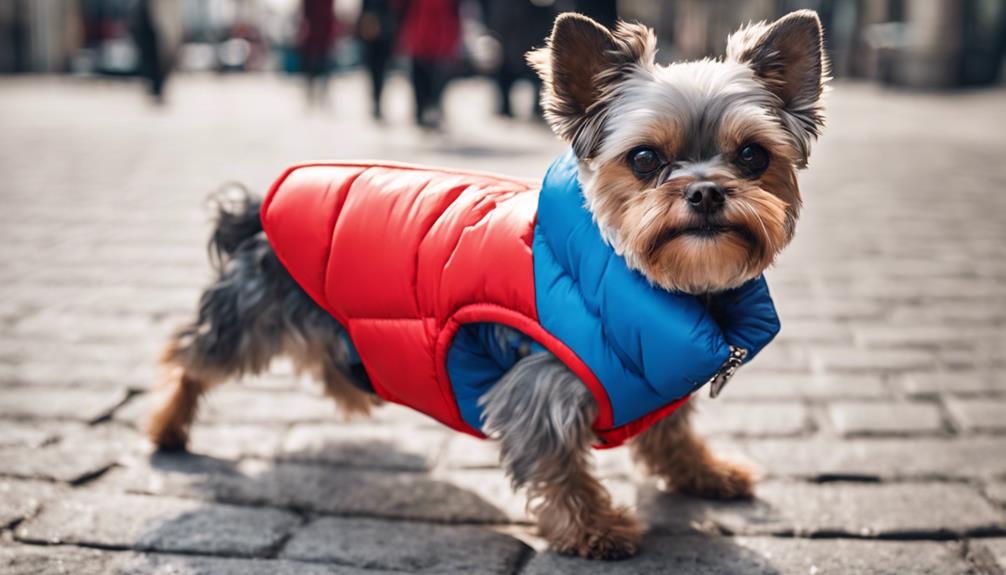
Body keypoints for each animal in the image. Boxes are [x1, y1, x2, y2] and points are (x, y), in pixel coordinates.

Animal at [148, 10, 824, 558]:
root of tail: (254, 208)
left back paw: (351, 386)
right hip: (251, 314)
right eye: (644, 160)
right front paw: (596, 529)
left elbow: (673, 434)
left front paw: (707, 473)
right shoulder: (539, 389)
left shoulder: (652, 380)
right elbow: (560, 466)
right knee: (191, 357)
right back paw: (168, 427)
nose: (706, 192)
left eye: (753, 156)